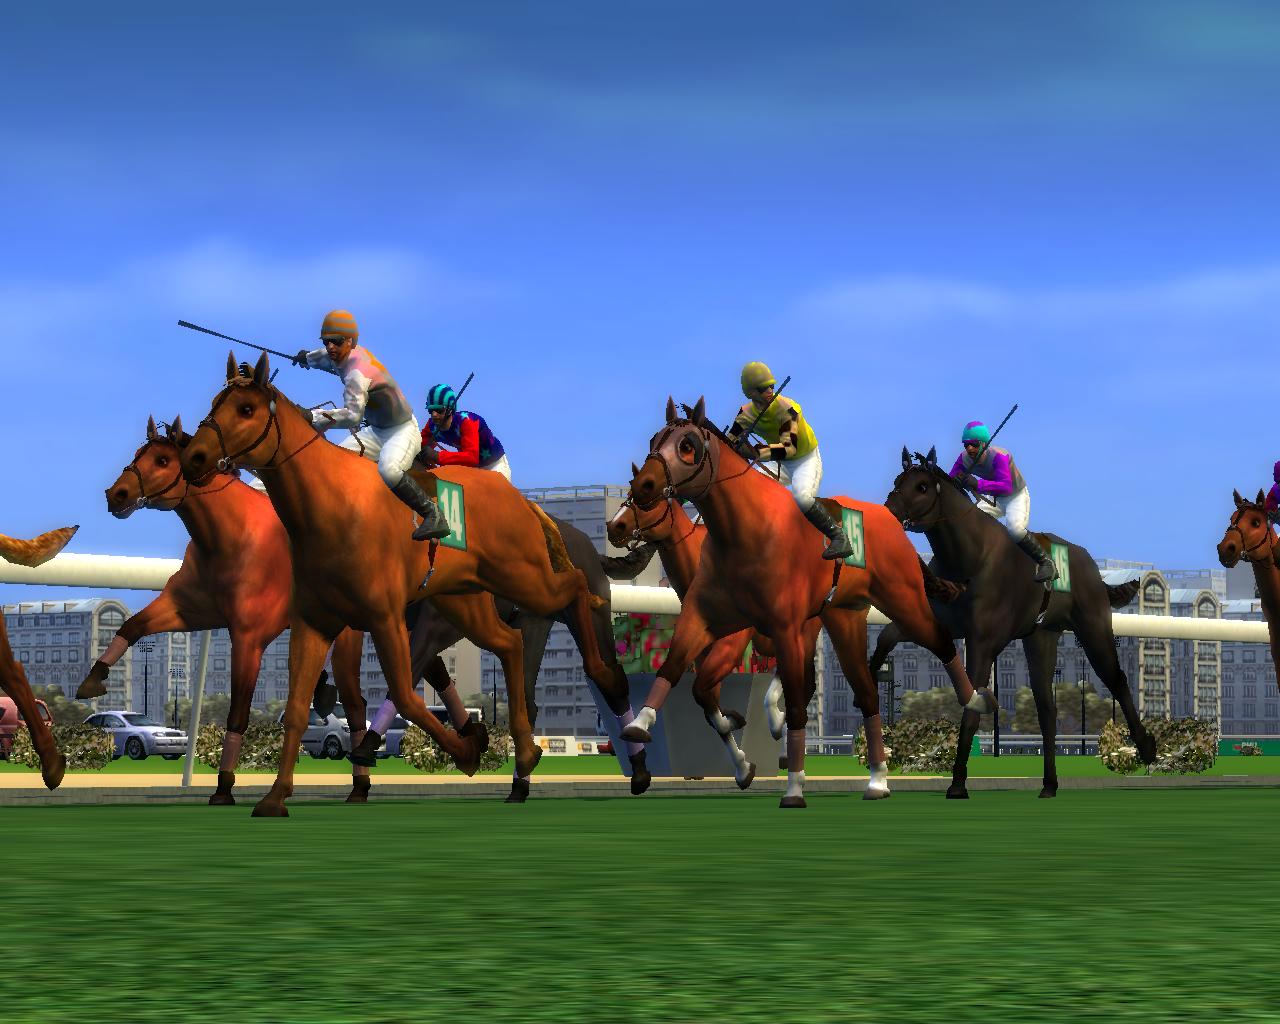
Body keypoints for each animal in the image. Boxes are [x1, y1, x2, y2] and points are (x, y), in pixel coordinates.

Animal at [82, 415, 377, 804]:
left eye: (162, 460)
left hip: (346, 636)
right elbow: (132, 626)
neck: (230, 538)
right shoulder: (188, 610)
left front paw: (223, 786)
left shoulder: (249, 637)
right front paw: (91, 681)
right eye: (137, 454)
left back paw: (360, 786)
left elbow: (237, 713)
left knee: (356, 706)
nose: (116, 494)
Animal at [179, 352, 611, 816]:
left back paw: (600, 673)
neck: (329, 506)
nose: (194, 457)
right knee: (511, 642)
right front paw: (275, 796)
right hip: (465, 601)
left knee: (575, 585)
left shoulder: (385, 617)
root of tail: (520, 499)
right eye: (215, 402)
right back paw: (527, 752)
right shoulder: (314, 621)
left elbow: (405, 695)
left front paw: (466, 751)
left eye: (246, 409)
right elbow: (295, 709)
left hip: (522, 575)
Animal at [617, 398, 989, 808]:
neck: (742, 532)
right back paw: (877, 780)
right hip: (845, 619)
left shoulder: (777, 630)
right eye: (654, 440)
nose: (643, 487)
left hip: (904, 599)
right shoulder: (705, 618)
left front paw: (793, 786)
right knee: (867, 692)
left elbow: (794, 702)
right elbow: (681, 674)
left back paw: (974, 701)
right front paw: (643, 725)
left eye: (687, 445)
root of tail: (891, 518)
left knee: (938, 639)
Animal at [879, 447, 1156, 798]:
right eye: (897, 481)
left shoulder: (983, 642)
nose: (887, 513)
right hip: (1041, 636)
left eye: (923, 487)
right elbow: (885, 638)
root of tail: (1093, 567)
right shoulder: (940, 623)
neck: (968, 557)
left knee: (1117, 680)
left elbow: (972, 706)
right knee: (1047, 709)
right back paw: (1049, 784)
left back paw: (1147, 747)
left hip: (1093, 629)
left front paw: (958, 783)